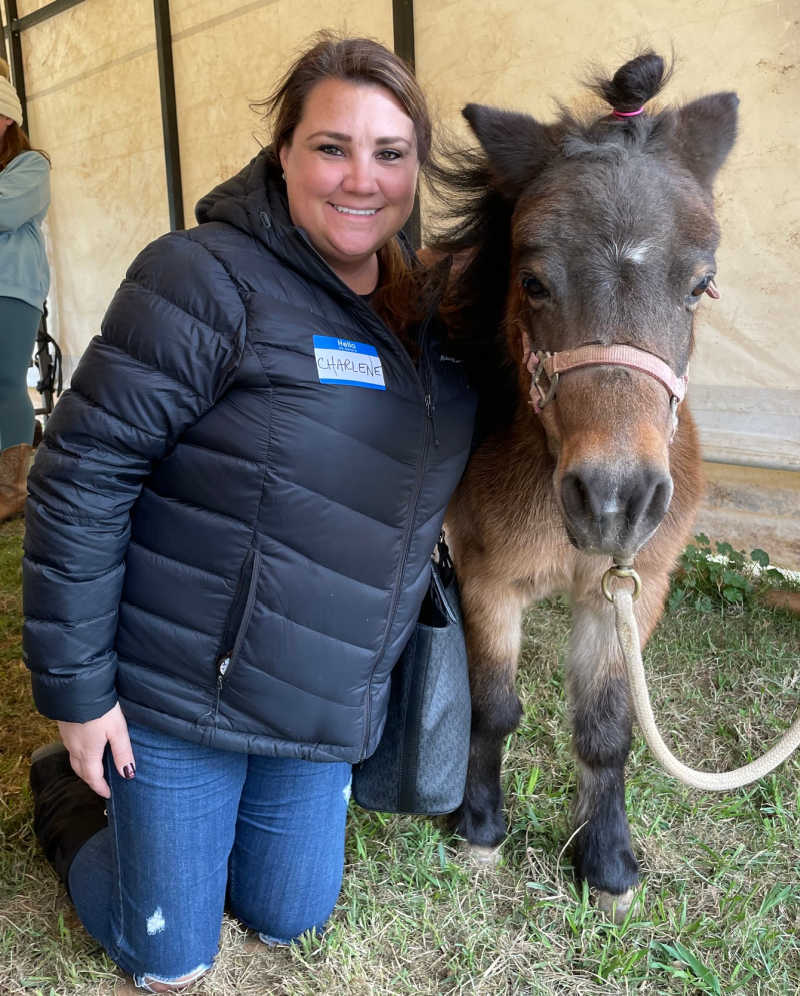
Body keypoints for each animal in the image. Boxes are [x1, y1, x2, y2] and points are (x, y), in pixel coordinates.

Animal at [429, 52, 739, 920]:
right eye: (534, 281)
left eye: (700, 284)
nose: (614, 501)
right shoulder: (489, 581)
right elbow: (493, 707)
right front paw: (480, 828)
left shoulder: (626, 593)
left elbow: (606, 732)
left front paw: (606, 863)